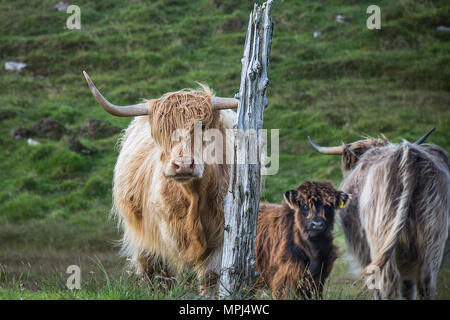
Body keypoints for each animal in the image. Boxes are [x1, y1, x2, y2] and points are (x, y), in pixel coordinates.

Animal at [310, 129, 450, 298]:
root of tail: (408, 153)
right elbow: (408, 288)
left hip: (381, 236)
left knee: (387, 282)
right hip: (433, 237)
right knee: (426, 281)